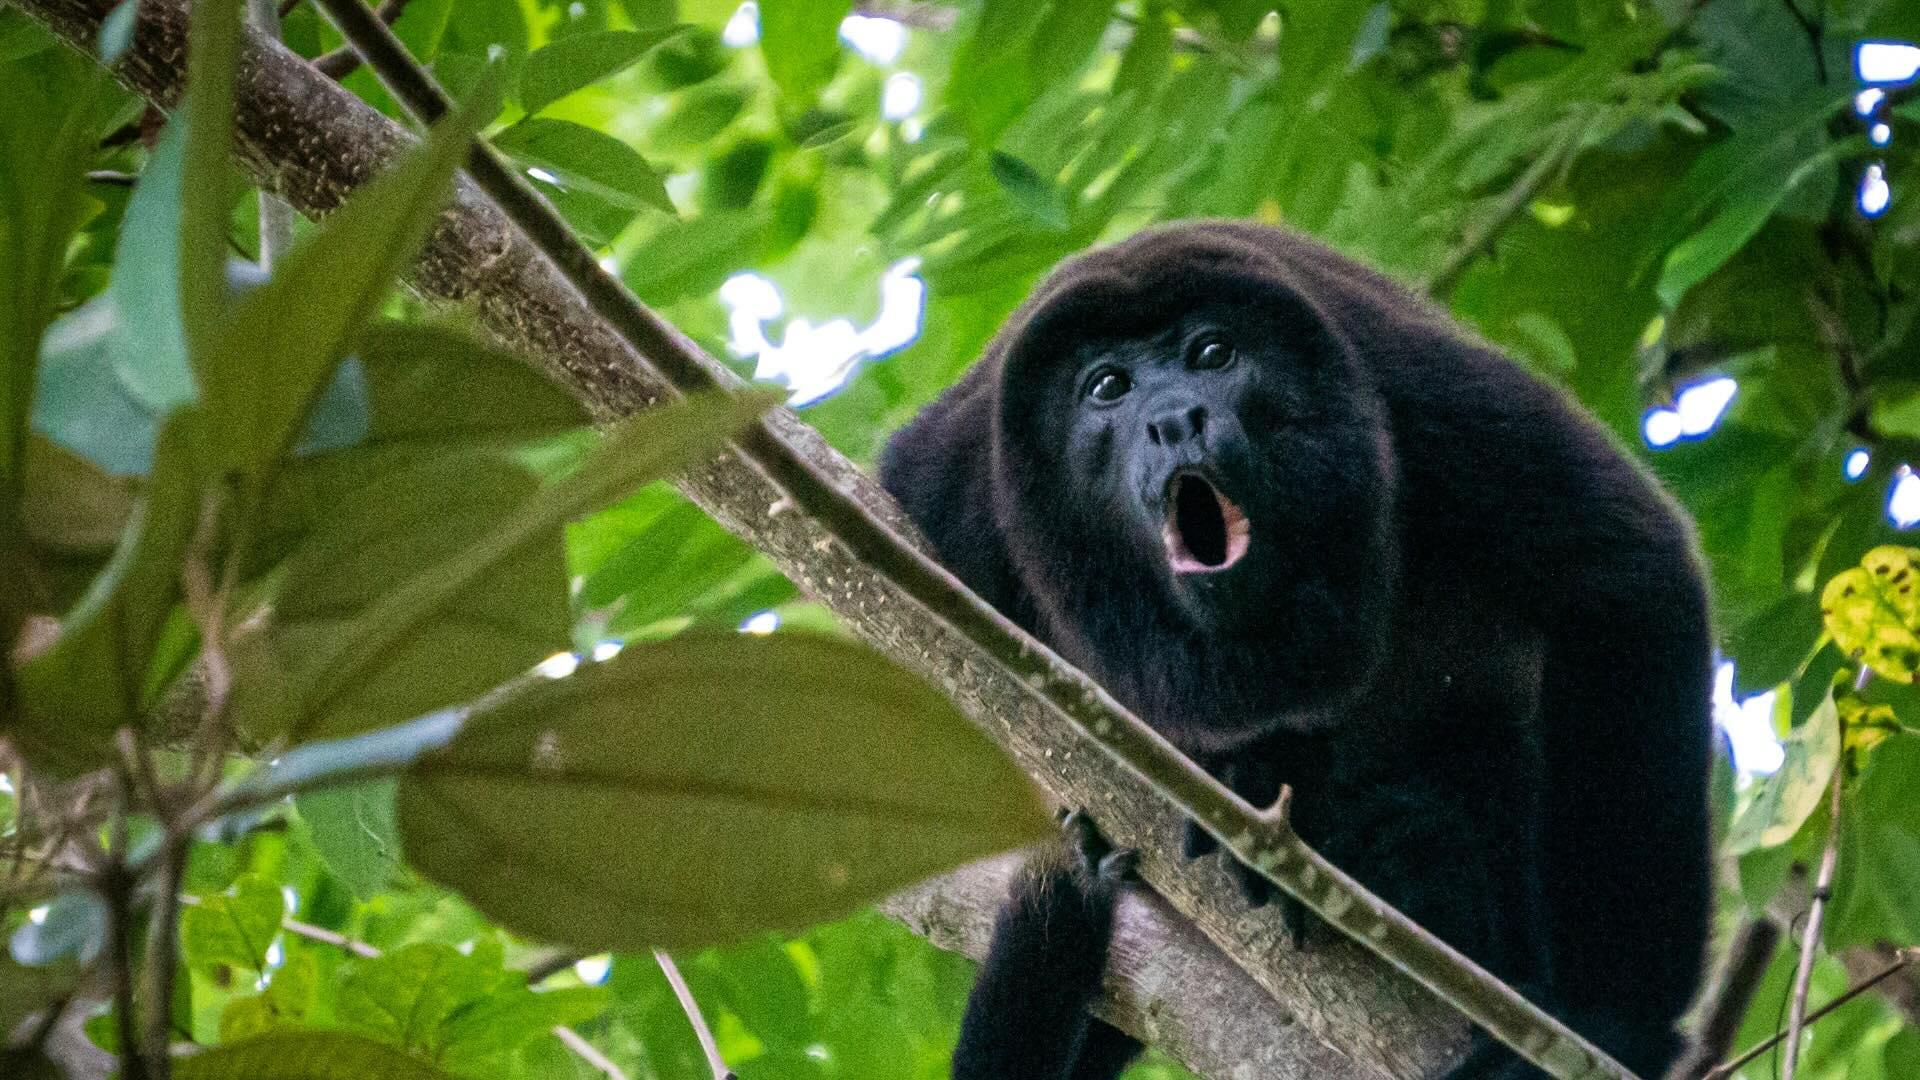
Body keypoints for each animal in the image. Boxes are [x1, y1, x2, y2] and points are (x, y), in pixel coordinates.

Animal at [877, 221, 1713, 1080]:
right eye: (1107, 387)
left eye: (1213, 354)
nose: (1175, 419)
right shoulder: (956, 488)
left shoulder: (1420, 391)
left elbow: (1627, 576)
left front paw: (1616, 1023)